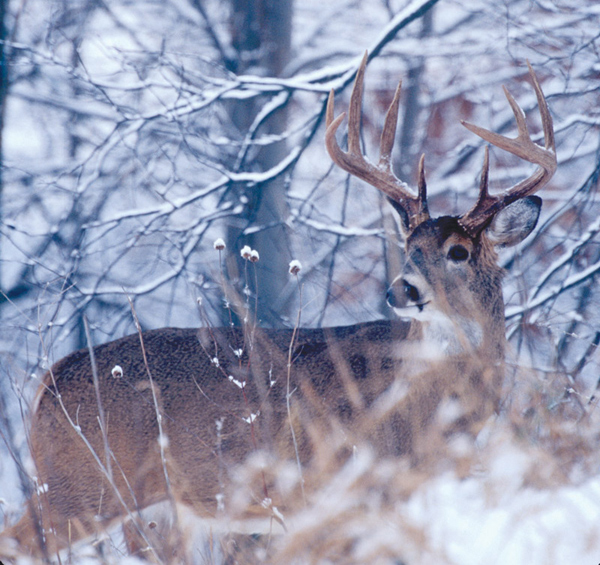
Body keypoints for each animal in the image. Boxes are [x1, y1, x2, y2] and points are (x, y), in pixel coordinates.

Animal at [0, 55, 556, 560]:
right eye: (409, 245)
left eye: (458, 252)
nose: (401, 290)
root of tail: (47, 382)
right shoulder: (330, 490)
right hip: (80, 488)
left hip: (158, 513)